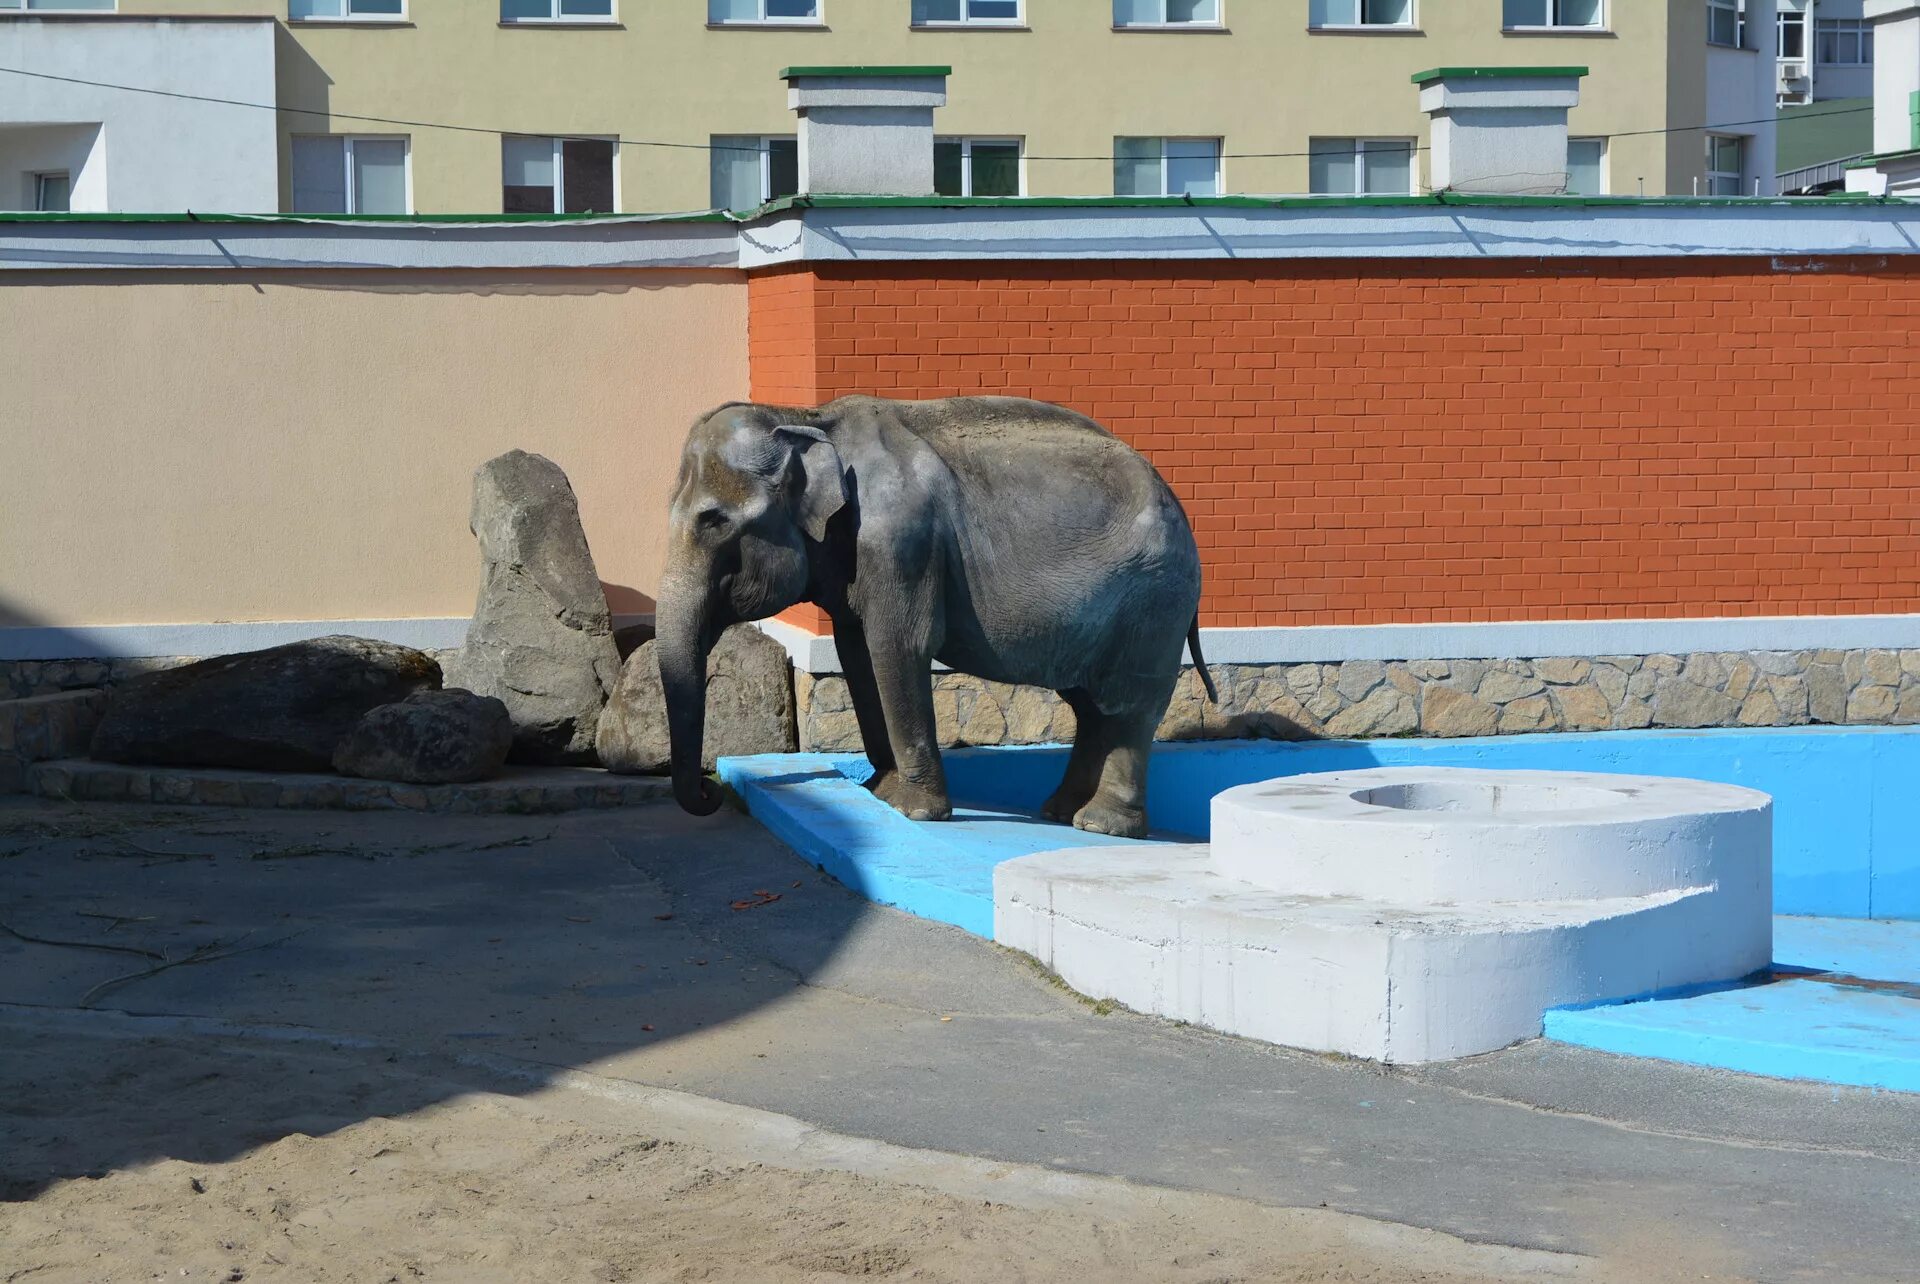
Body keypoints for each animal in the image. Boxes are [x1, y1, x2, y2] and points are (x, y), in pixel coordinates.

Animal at [660, 395, 1213, 836]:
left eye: (713, 521)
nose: (711, 791)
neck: (805, 418)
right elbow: (857, 653)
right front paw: (879, 791)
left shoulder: (901, 543)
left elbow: (897, 647)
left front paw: (914, 811)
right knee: (1091, 707)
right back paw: (1060, 813)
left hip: (1154, 599)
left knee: (1129, 705)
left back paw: (1103, 825)